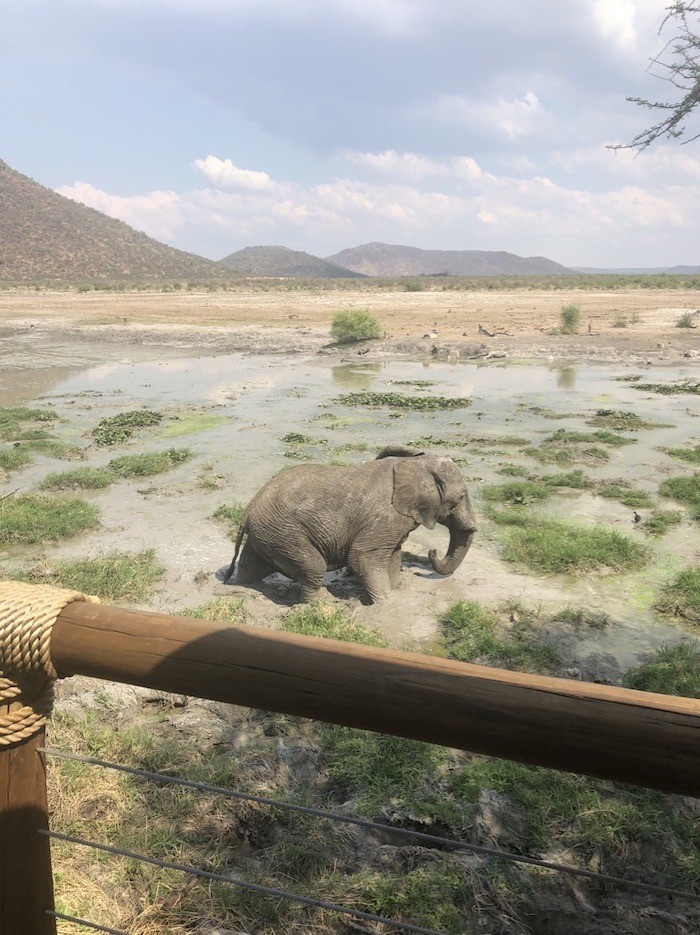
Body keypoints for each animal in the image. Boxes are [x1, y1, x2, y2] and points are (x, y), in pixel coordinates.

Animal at [224, 444, 476, 604]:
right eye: (461, 497)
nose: (433, 551)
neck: (416, 464)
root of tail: (249, 510)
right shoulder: (384, 518)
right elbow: (362, 557)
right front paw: (384, 605)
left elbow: (393, 557)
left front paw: (394, 593)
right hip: (284, 534)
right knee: (315, 568)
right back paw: (317, 605)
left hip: (267, 535)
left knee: (250, 565)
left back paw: (243, 586)